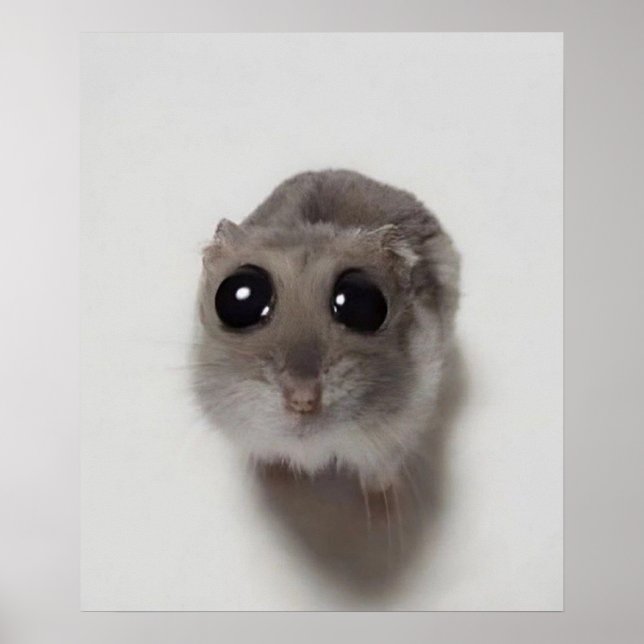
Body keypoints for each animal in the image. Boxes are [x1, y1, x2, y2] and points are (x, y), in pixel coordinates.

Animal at [193, 170, 460, 492]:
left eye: (361, 303)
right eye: (238, 298)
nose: (303, 400)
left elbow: (382, 471)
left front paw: (385, 495)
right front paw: (277, 478)